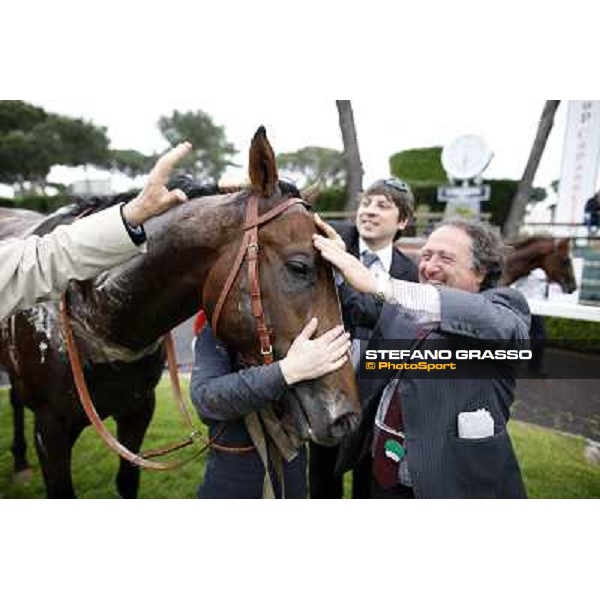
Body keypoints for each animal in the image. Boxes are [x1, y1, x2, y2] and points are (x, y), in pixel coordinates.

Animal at [0, 129, 358, 500]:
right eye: (299, 267)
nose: (347, 417)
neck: (97, 315)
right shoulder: (50, 430)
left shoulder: (138, 411)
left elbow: (127, 481)